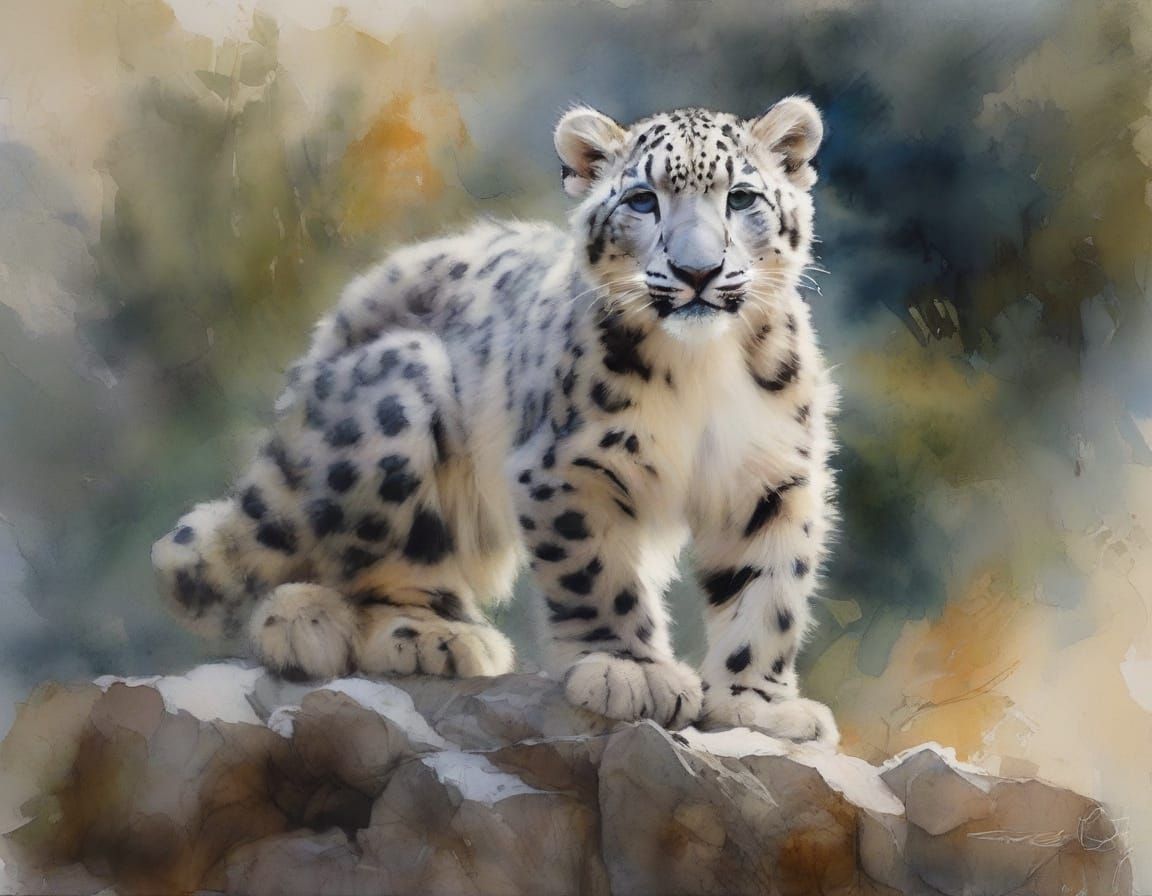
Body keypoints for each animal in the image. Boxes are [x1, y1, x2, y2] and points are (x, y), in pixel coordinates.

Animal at [152, 96, 839, 744]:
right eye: (643, 200)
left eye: (741, 196)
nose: (697, 271)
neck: (702, 368)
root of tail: (314, 357)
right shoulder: (566, 466)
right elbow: (598, 575)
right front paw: (629, 670)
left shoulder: (775, 475)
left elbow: (769, 589)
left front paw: (757, 702)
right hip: (400, 393)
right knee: (371, 563)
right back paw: (418, 633)